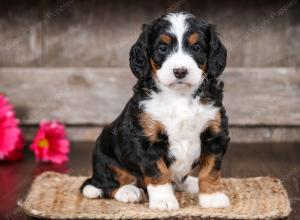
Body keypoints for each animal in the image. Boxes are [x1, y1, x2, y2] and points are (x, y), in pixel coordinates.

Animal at [80, 11, 230, 210]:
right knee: (105, 184)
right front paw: (163, 201)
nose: (180, 71)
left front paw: (212, 197)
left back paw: (189, 183)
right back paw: (129, 191)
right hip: (104, 153)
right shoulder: (147, 139)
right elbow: (158, 172)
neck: (179, 96)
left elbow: (211, 170)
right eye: (162, 48)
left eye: (196, 47)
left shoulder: (214, 134)